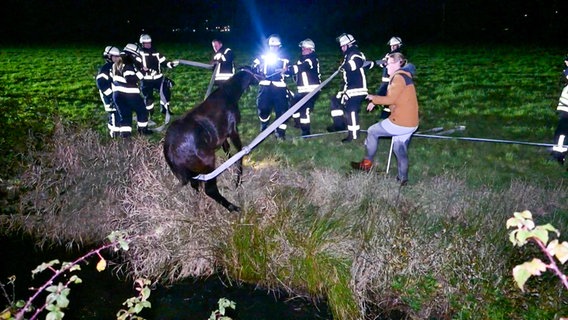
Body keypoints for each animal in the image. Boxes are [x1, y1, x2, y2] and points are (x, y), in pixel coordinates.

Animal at [163, 68, 260, 212]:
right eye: (255, 72)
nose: (262, 78)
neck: (229, 94)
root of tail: (170, 150)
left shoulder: (222, 135)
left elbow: (227, 149)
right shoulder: (232, 129)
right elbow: (239, 152)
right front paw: (238, 181)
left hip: (192, 169)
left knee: (195, 184)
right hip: (207, 161)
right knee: (210, 189)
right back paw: (232, 207)